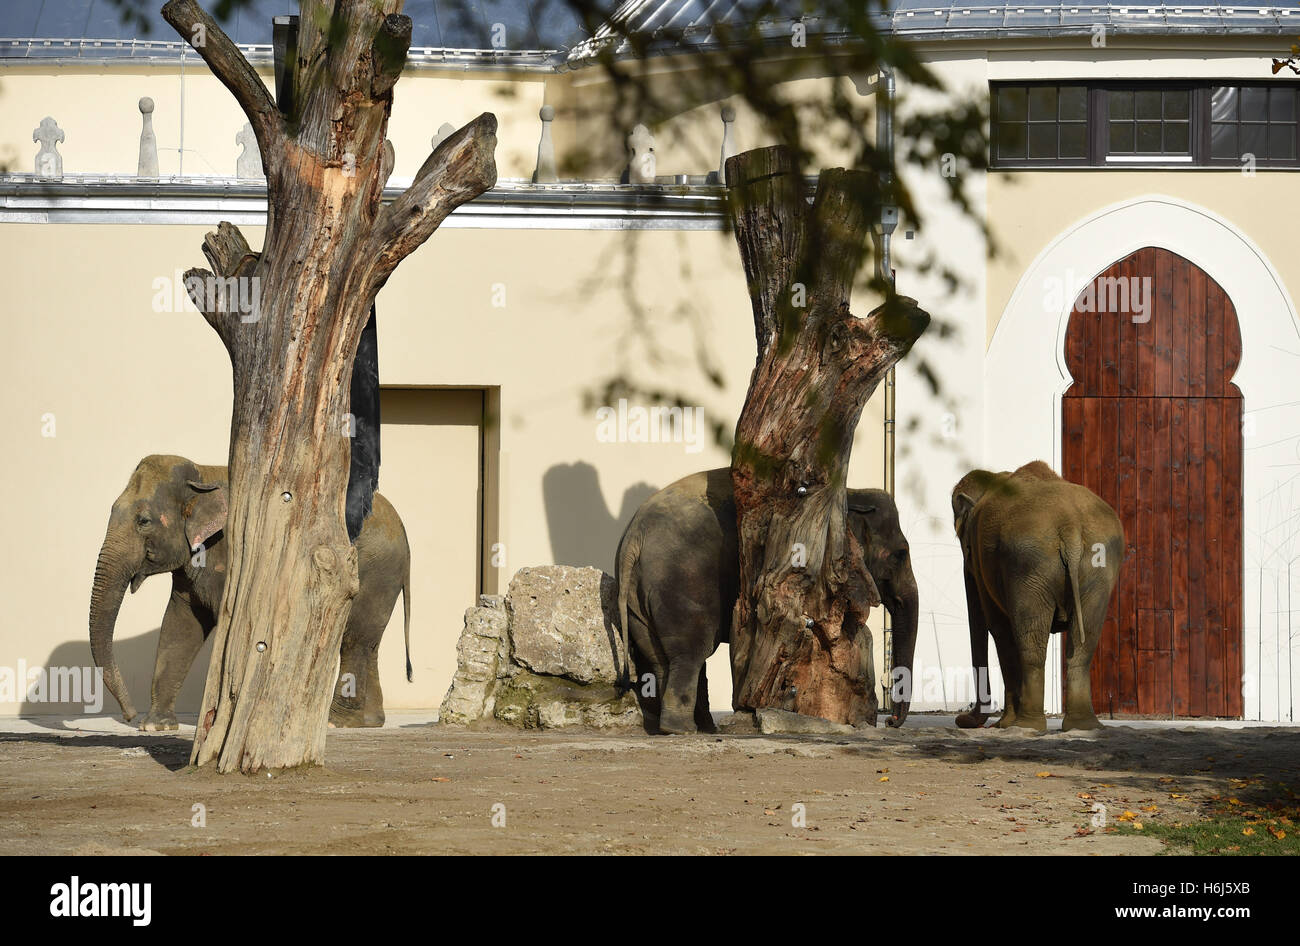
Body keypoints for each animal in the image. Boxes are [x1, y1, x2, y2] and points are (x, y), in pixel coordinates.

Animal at [89, 454, 411, 731]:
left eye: (143, 521)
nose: (129, 716)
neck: (202, 473)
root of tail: (404, 535)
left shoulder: (233, 552)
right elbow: (181, 624)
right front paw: (156, 726)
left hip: (374, 571)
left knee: (355, 639)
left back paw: (335, 723)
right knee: (368, 642)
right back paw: (367, 722)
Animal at [614, 467, 919, 734]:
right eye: (900, 554)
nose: (890, 721)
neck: (850, 491)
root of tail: (633, 539)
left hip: (637, 601)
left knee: (661, 658)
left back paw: (691, 727)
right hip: (683, 584)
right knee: (691, 653)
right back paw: (683, 730)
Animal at [950, 460, 1124, 733]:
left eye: (964, 542)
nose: (962, 720)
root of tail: (1069, 526)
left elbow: (998, 627)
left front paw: (1002, 725)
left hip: (1029, 563)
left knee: (1030, 640)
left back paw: (1026, 725)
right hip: (1097, 565)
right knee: (1084, 641)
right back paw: (1082, 726)